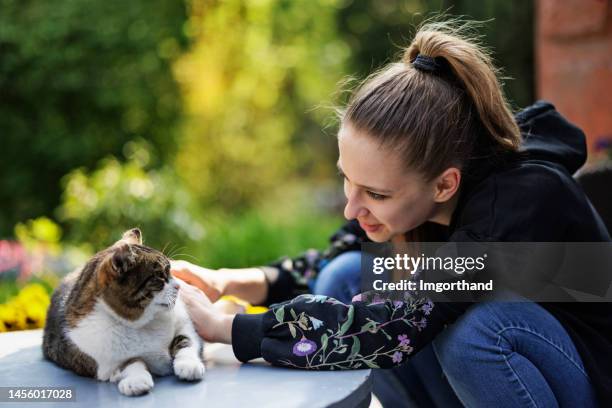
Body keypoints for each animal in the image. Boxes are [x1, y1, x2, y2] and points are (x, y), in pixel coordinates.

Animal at [43, 228, 206, 394]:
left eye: (170, 271)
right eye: (160, 276)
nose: (179, 286)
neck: (143, 323)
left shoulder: (186, 325)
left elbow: (186, 340)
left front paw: (189, 365)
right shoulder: (103, 365)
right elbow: (131, 362)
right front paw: (137, 380)